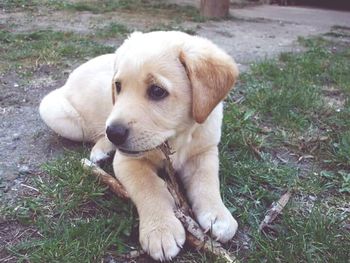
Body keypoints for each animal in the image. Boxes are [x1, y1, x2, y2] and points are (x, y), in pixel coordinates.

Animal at [40, 31, 238, 262]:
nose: (114, 133)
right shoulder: (127, 160)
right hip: (59, 115)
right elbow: (148, 186)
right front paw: (161, 230)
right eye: (118, 86)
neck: (175, 138)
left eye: (157, 91)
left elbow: (207, 180)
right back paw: (101, 149)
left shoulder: (205, 150)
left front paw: (218, 214)